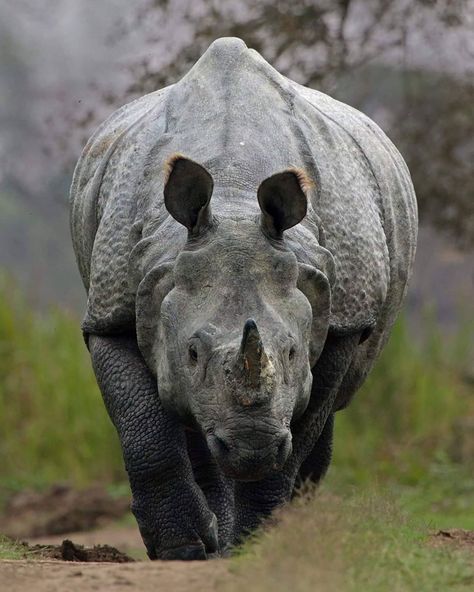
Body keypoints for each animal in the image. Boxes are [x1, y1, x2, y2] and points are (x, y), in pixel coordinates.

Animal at [68, 38, 416, 560]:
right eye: (192, 352)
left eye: (292, 352)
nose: (252, 447)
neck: (234, 197)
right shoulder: (114, 308)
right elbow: (145, 429)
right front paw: (183, 549)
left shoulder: (344, 318)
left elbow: (297, 437)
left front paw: (256, 546)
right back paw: (210, 542)